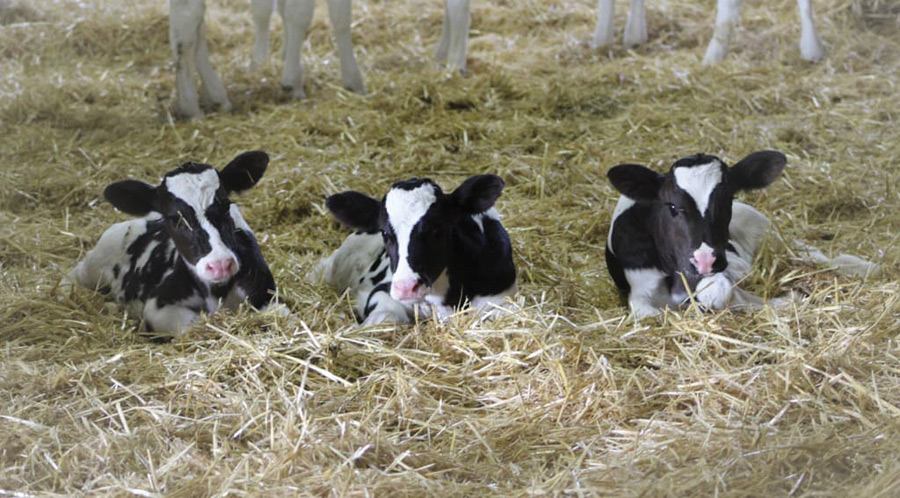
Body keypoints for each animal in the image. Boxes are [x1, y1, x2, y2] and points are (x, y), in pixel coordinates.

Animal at [312, 175, 516, 326]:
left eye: (437, 228)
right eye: (385, 232)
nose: (406, 288)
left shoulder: (502, 298)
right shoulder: (382, 291)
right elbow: (386, 317)